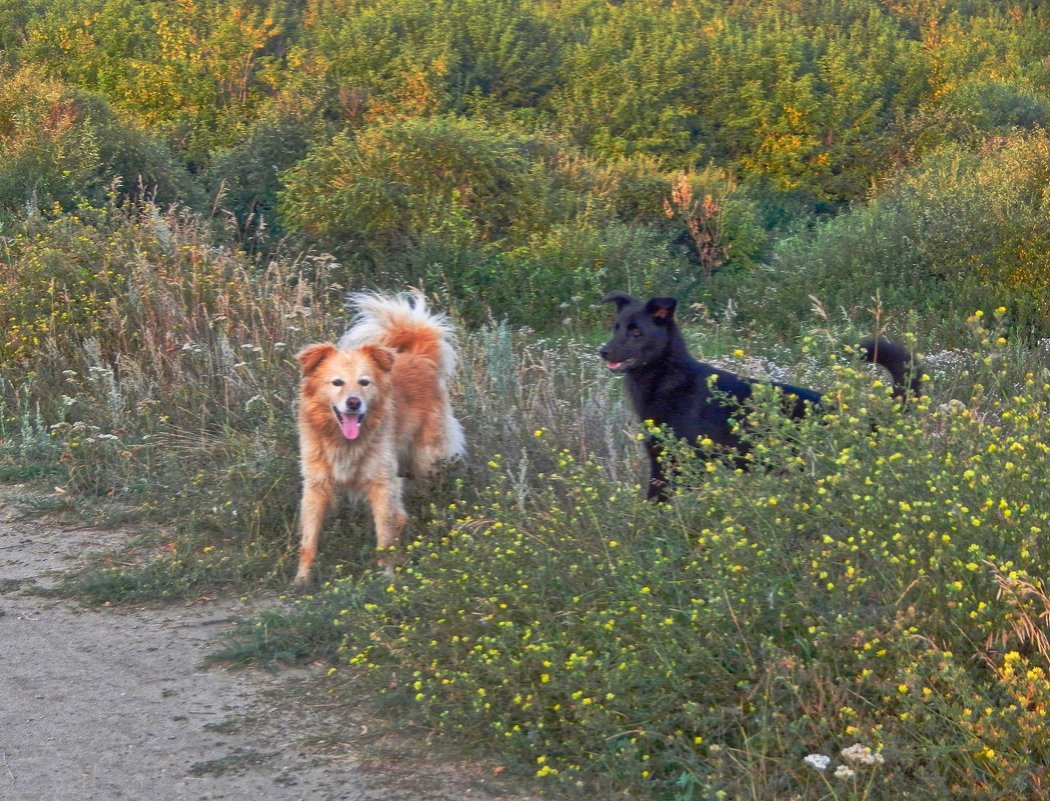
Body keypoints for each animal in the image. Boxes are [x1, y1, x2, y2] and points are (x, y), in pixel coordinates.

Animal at [294, 291, 461, 587]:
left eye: (364, 382)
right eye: (337, 382)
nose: (353, 403)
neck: (344, 442)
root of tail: (418, 355)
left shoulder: (381, 484)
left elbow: (384, 539)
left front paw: (387, 578)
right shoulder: (316, 486)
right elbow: (309, 541)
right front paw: (302, 580)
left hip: (427, 460)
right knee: (402, 511)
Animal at [600, 291, 919, 497]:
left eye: (636, 332)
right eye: (616, 328)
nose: (603, 351)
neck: (667, 377)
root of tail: (866, 420)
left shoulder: (686, 465)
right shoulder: (660, 464)